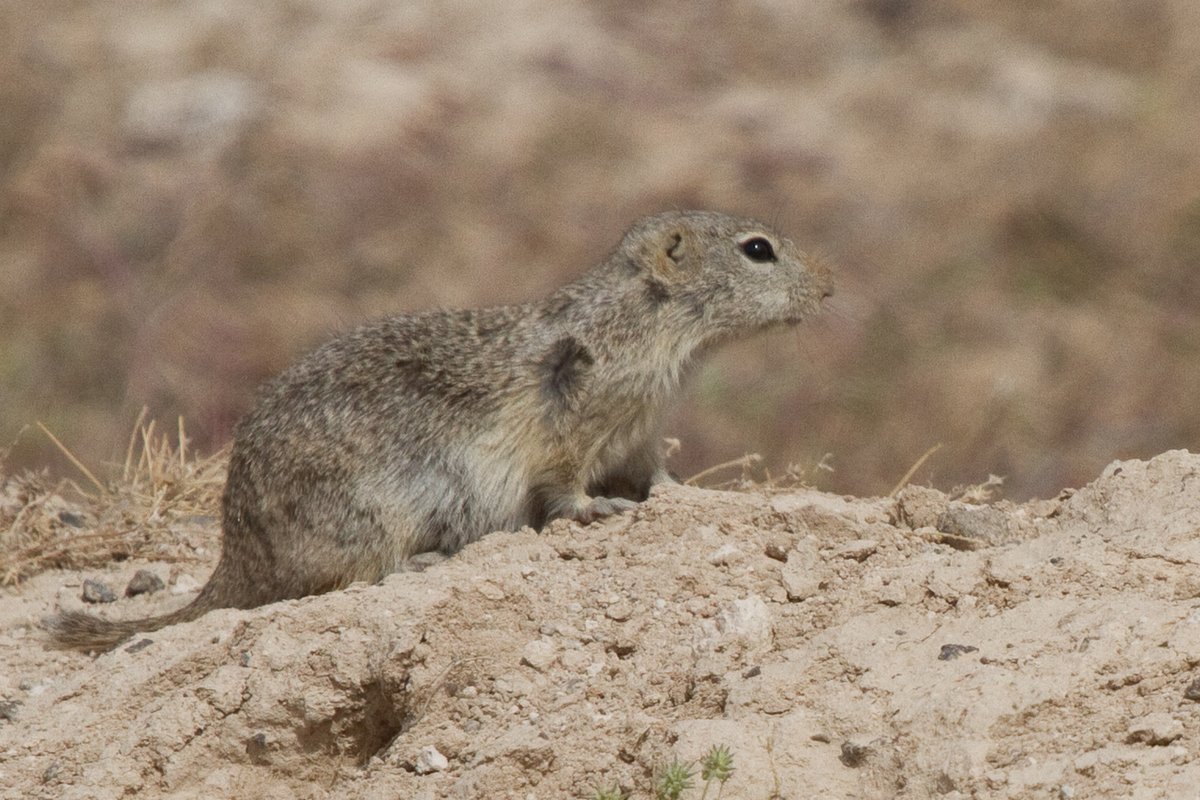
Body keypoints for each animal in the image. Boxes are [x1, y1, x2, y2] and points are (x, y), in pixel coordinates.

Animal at [46, 210, 833, 651]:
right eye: (757, 249)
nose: (830, 289)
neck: (656, 323)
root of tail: (235, 560)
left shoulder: (640, 428)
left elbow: (655, 473)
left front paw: (684, 494)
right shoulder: (577, 417)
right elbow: (564, 483)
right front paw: (596, 509)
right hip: (369, 512)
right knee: (346, 578)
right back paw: (420, 564)